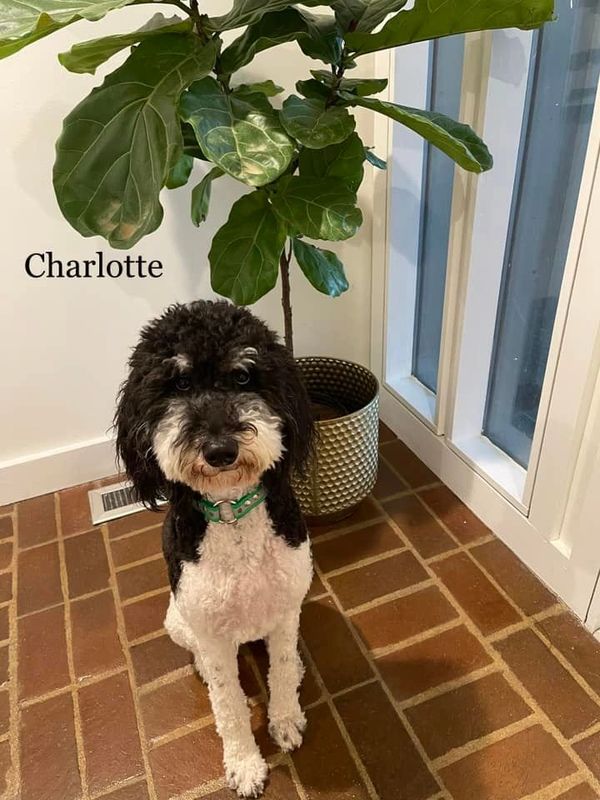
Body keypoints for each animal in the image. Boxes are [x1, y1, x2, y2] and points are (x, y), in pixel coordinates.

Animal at [114, 298, 316, 792]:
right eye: (180, 382)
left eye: (243, 376)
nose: (221, 450)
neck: (232, 512)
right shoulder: (208, 628)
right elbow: (229, 706)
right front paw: (244, 764)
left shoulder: (287, 607)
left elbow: (283, 668)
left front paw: (286, 719)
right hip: (178, 620)